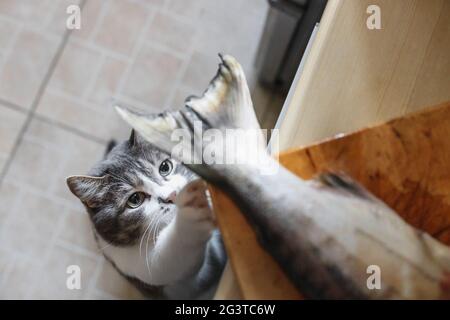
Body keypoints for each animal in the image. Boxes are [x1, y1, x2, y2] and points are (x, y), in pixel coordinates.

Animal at [65, 130, 227, 300]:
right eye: (135, 199)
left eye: (165, 167)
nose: (172, 195)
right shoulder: (137, 267)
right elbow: (170, 259)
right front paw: (192, 210)